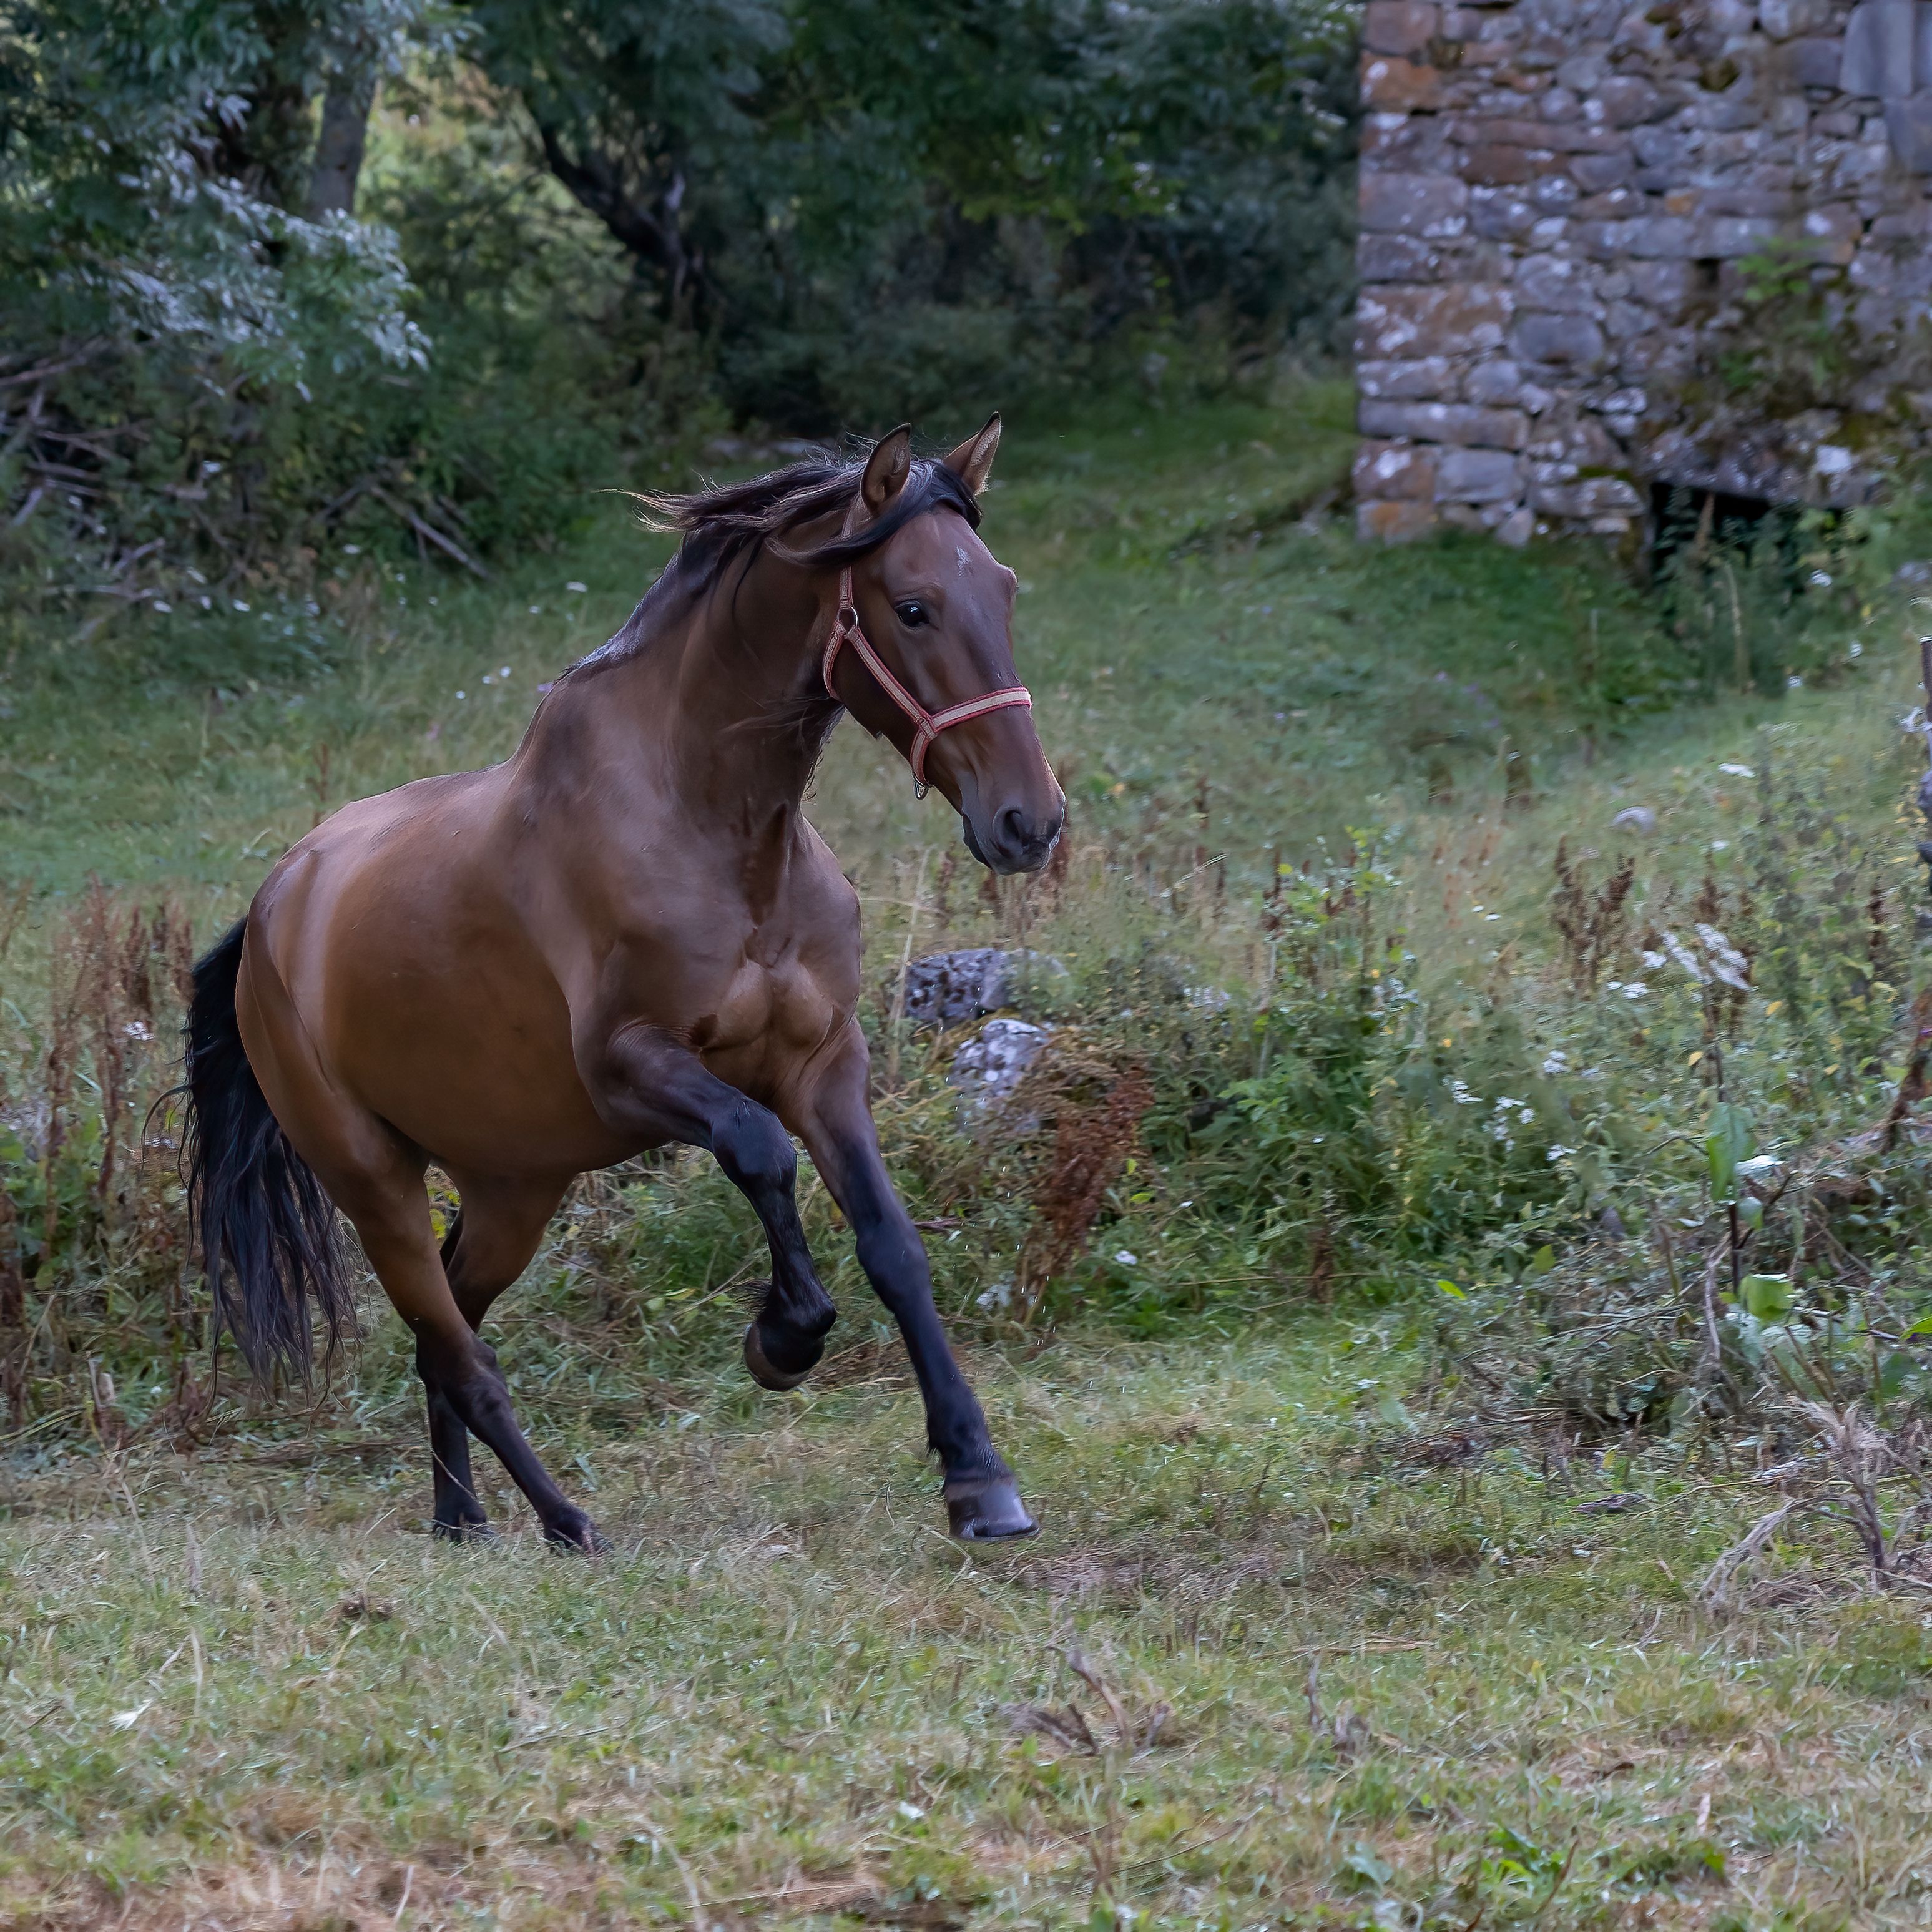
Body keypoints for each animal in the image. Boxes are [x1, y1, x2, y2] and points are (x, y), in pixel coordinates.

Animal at [179, 419, 1064, 1550]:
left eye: (1003, 588)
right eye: (911, 605)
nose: (1028, 821)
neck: (717, 835)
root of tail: (272, 914)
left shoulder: (824, 1063)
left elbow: (893, 1246)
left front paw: (978, 1477)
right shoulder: (633, 1067)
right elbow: (759, 1151)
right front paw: (784, 1337)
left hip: (514, 1187)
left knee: (448, 1327)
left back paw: (463, 1516)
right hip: (371, 1181)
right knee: (460, 1350)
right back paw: (565, 1520)